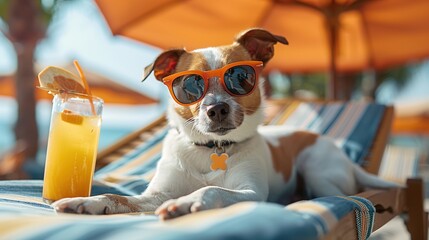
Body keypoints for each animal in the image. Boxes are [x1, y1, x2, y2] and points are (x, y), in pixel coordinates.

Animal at [51, 28, 394, 219]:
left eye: (240, 77)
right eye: (189, 85)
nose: (216, 109)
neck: (210, 150)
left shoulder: (250, 193)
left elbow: (212, 189)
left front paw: (188, 202)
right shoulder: (156, 194)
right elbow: (119, 198)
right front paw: (88, 201)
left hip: (317, 170)